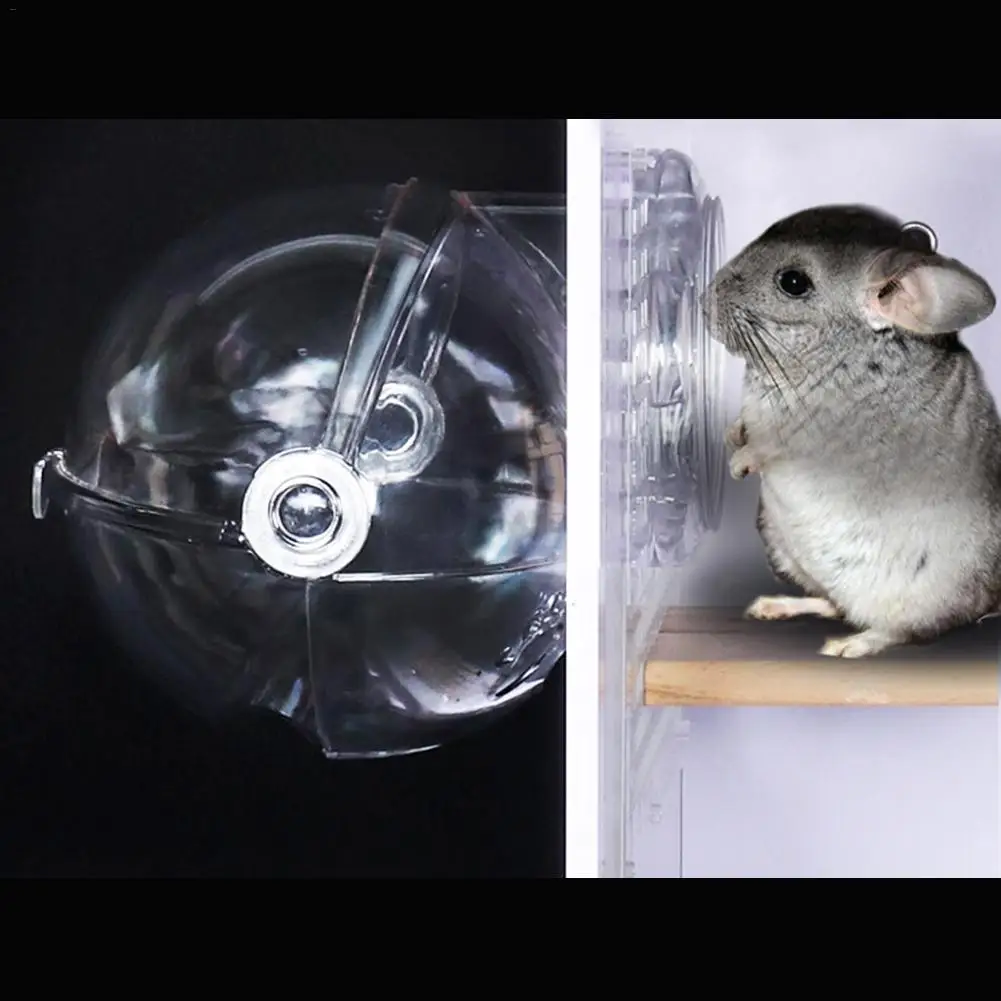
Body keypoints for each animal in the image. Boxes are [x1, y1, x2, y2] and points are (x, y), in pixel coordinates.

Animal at [706, 204, 1001, 658]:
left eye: (793, 282)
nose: (703, 300)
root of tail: (989, 601)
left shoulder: (816, 439)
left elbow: (771, 446)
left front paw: (739, 464)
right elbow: (743, 427)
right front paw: (732, 437)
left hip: (925, 592)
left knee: (902, 630)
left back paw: (849, 646)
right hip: (784, 549)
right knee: (833, 604)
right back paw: (775, 606)